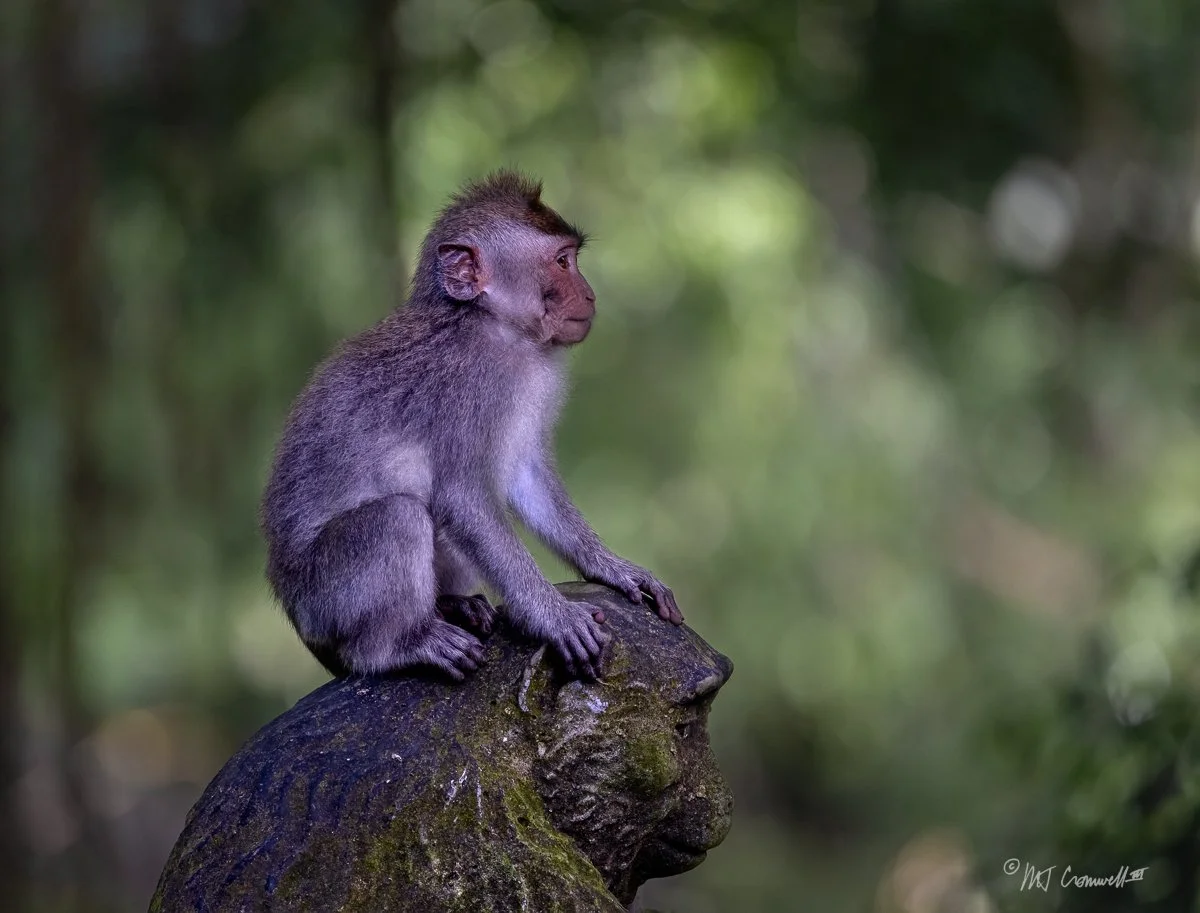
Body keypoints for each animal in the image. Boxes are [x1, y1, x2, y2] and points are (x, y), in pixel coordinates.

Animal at [261, 171, 683, 683]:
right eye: (562, 262)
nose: (590, 294)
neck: (488, 323)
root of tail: (295, 615)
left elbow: (525, 478)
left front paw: (611, 568)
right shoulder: (465, 385)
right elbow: (462, 496)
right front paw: (551, 616)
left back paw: (453, 604)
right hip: (325, 602)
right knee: (398, 517)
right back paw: (398, 645)